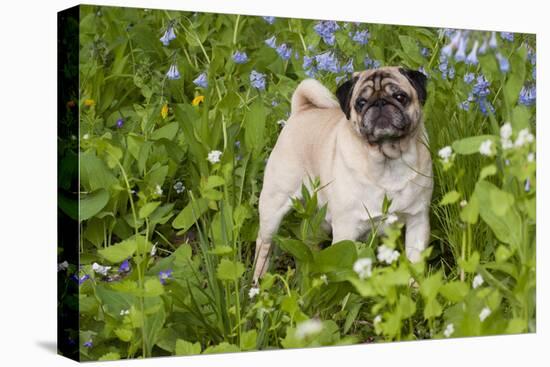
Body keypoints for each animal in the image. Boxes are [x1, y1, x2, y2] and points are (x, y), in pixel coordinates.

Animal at [254, 67, 436, 282]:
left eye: (400, 97)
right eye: (361, 103)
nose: (380, 103)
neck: (387, 161)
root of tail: (302, 109)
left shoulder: (418, 221)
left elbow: (415, 262)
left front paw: (415, 287)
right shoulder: (346, 230)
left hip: (321, 217)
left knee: (311, 238)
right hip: (273, 207)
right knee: (263, 245)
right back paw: (258, 281)